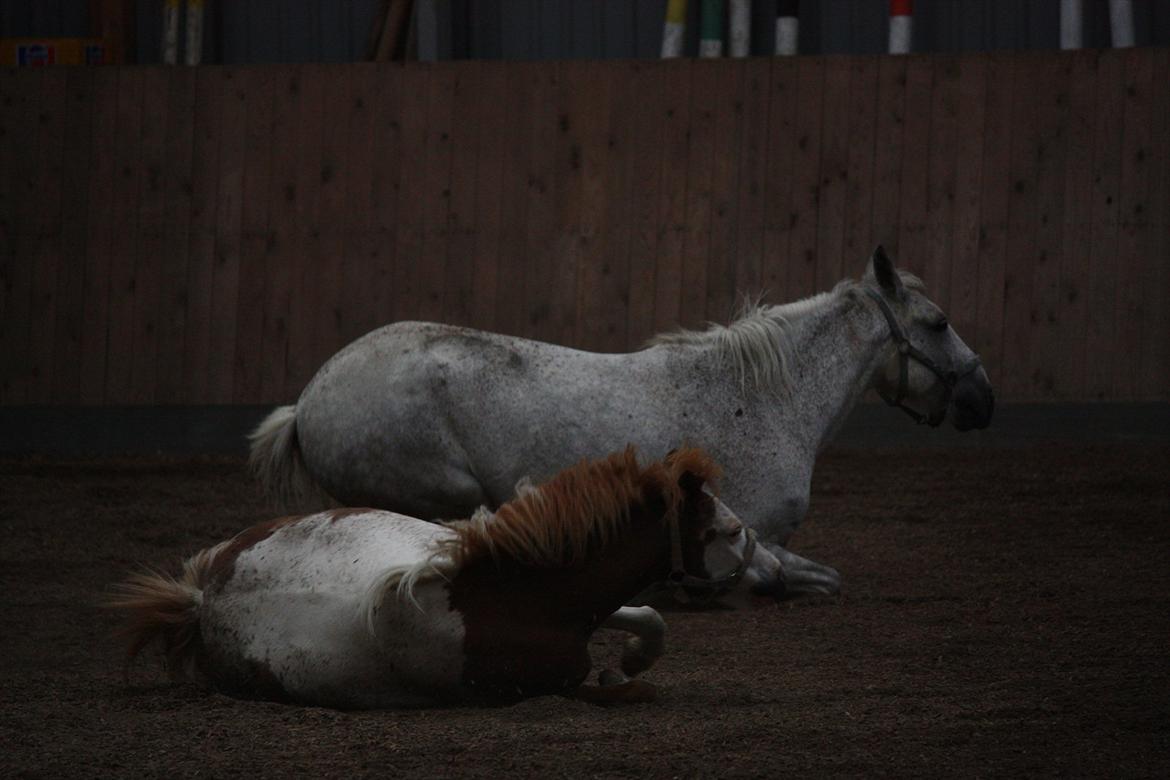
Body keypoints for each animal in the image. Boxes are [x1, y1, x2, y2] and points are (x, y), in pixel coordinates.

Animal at [107, 449, 748, 711]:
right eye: (706, 518)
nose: (745, 541)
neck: (516, 597)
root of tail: (201, 597)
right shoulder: (543, 686)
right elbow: (624, 688)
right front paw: (625, 671)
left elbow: (647, 615)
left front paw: (635, 654)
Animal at [251, 250, 992, 598]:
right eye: (939, 323)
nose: (983, 399)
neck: (766, 400)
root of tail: (307, 402)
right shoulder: (755, 532)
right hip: (446, 491)